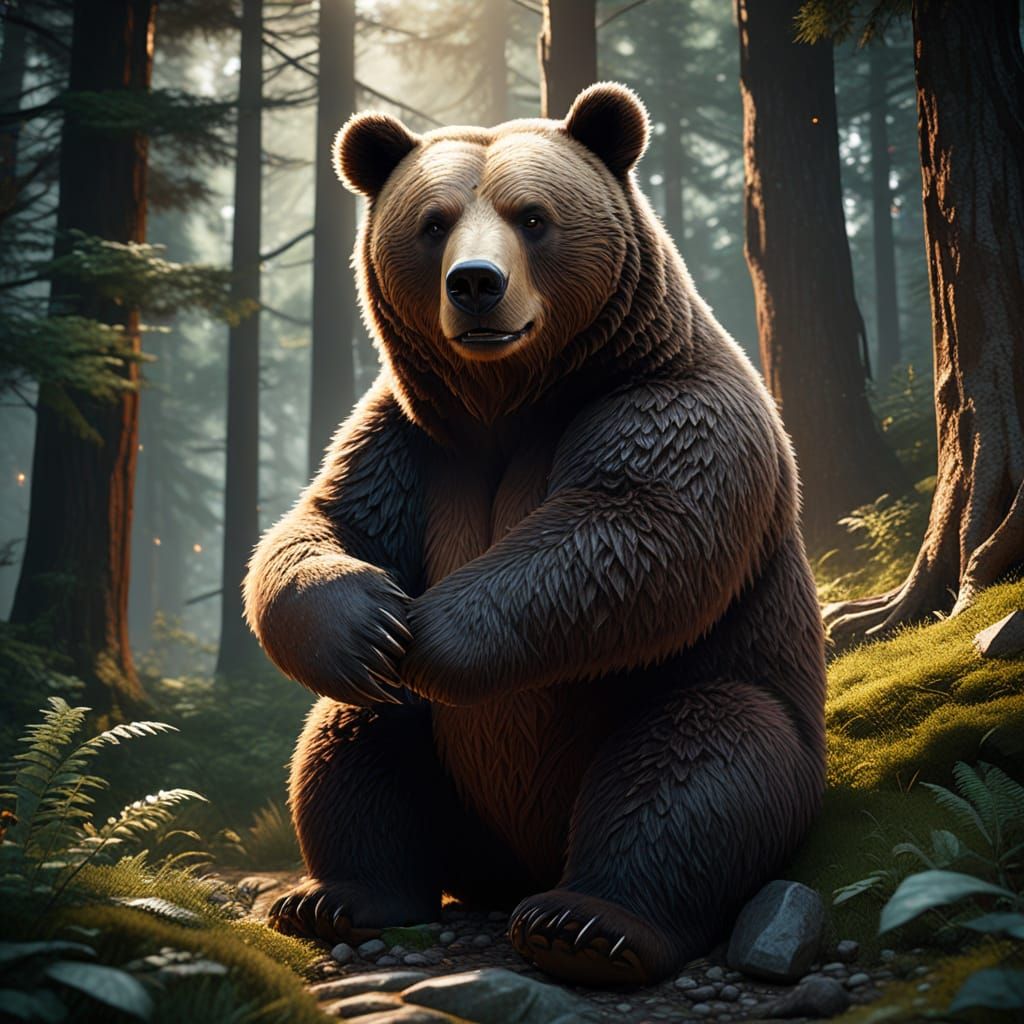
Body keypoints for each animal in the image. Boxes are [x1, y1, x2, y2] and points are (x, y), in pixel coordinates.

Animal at [243, 82, 827, 988]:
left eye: (533, 217)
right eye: (433, 222)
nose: (475, 284)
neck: (509, 402)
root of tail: (515, 864)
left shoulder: (665, 402)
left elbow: (631, 529)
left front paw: (432, 632)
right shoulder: (410, 439)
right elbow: (329, 524)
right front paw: (368, 621)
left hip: (725, 701)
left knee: (696, 763)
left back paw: (586, 923)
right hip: (441, 774)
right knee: (353, 746)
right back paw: (337, 895)